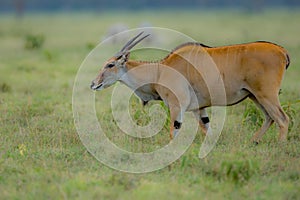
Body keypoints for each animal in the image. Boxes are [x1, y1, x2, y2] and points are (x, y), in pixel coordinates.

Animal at [90, 31, 290, 144]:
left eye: (110, 65)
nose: (93, 83)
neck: (160, 70)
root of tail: (281, 51)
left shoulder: (176, 106)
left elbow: (174, 132)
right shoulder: (199, 109)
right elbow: (207, 130)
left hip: (266, 95)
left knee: (282, 119)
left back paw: (279, 146)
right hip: (254, 96)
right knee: (270, 118)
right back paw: (253, 141)